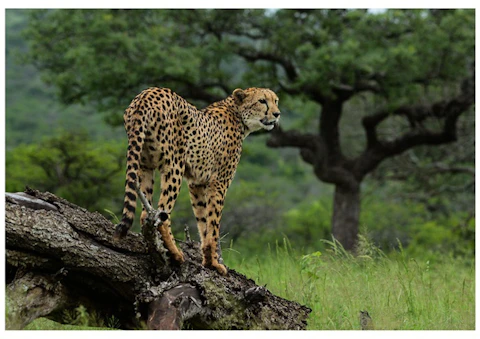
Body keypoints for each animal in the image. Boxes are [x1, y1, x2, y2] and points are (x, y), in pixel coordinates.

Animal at [114, 87, 280, 276]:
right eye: (262, 101)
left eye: (276, 100)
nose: (277, 114)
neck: (238, 115)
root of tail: (147, 93)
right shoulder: (219, 183)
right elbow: (214, 224)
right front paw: (215, 263)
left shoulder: (197, 183)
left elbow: (203, 222)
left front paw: (208, 261)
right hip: (174, 166)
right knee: (162, 214)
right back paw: (176, 253)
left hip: (144, 165)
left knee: (146, 213)